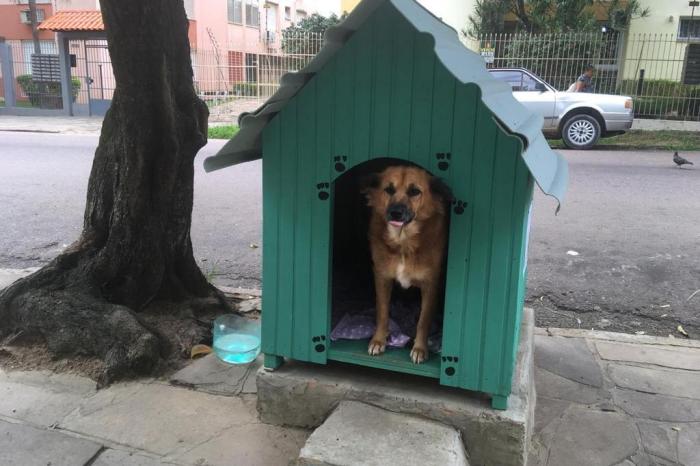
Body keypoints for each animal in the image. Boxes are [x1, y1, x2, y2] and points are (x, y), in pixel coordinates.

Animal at [364, 165, 452, 364]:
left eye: (414, 191)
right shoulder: (382, 277)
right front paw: (378, 340)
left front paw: (420, 348)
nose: (395, 212)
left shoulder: (430, 285)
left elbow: (423, 321)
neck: (403, 243)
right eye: (389, 189)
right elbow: (382, 312)